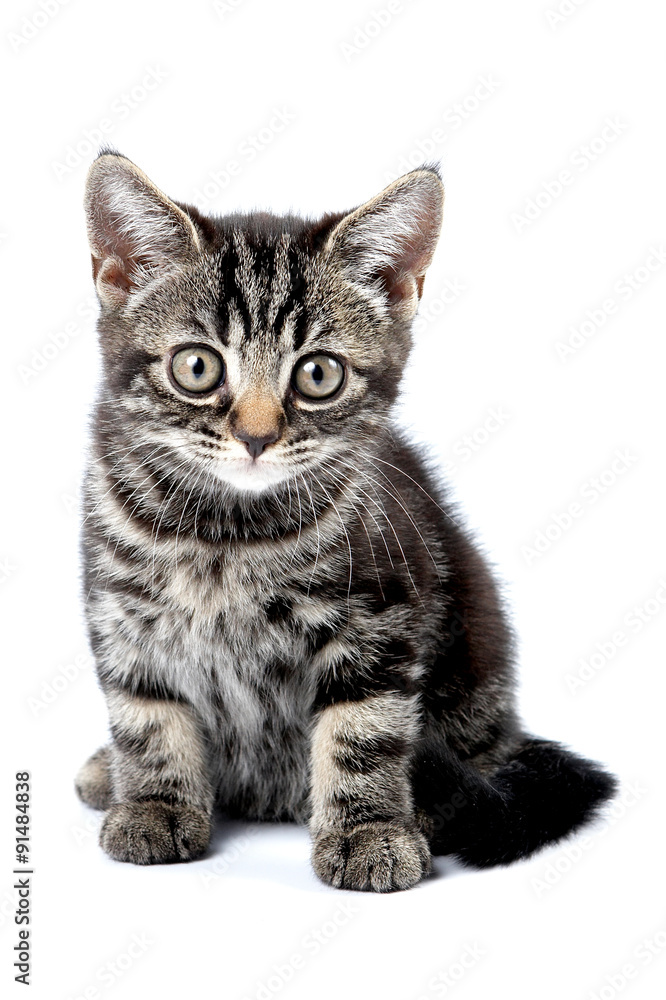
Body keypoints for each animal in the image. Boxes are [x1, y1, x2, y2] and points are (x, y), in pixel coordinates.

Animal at [75, 152, 616, 896]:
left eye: (318, 374)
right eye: (197, 365)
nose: (255, 437)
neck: (227, 533)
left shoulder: (383, 612)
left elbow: (364, 728)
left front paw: (370, 832)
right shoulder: (122, 610)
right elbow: (146, 712)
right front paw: (154, 803)